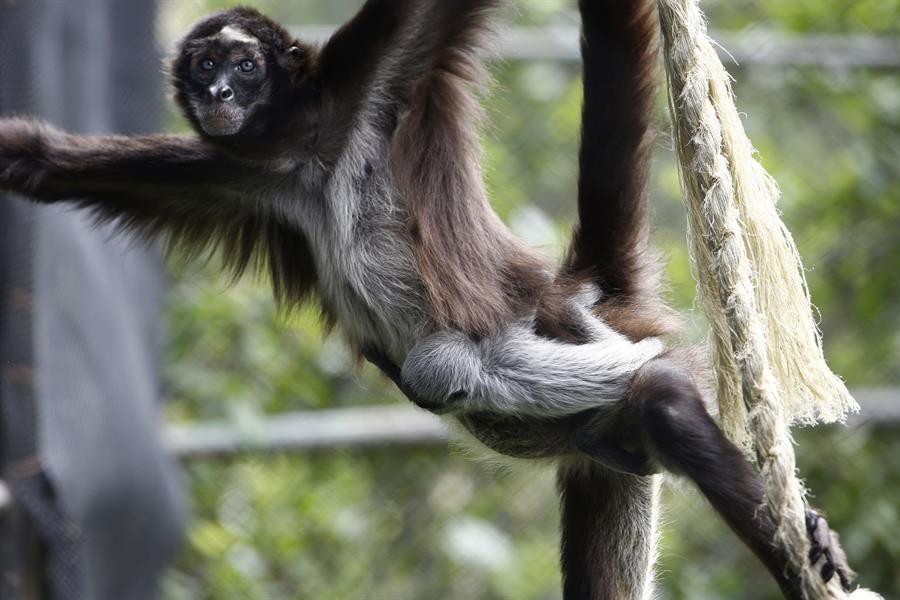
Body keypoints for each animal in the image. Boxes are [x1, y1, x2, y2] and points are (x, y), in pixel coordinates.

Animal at [0, 1, 854, 598]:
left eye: (241, 65)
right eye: (205, 61)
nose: (214, 90)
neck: (304, 148)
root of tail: (577, 289)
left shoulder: (375, 67)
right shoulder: (238, 172)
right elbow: (40, 165)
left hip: (590, 354)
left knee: (658, 400)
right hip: (603, 454)